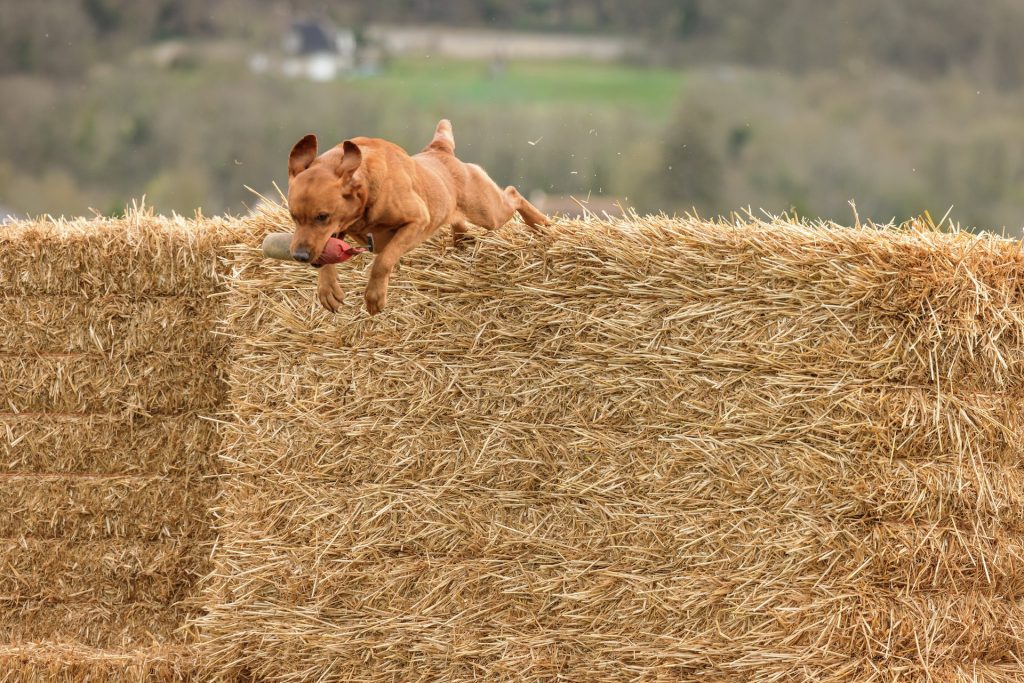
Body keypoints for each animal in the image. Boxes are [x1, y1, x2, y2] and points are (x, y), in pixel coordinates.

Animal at [284, 119, 552, 315]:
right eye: (293, 215)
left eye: (322, 216)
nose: (299, 256)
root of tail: (439, 150)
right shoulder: (339, 230)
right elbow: (328, 253)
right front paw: (327, 289)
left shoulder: (417, 221)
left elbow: (383, 261)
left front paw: (374, 297)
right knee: (461, 224)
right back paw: (462, 242)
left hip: (488, 211)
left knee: (513, 194)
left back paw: (541, 224)